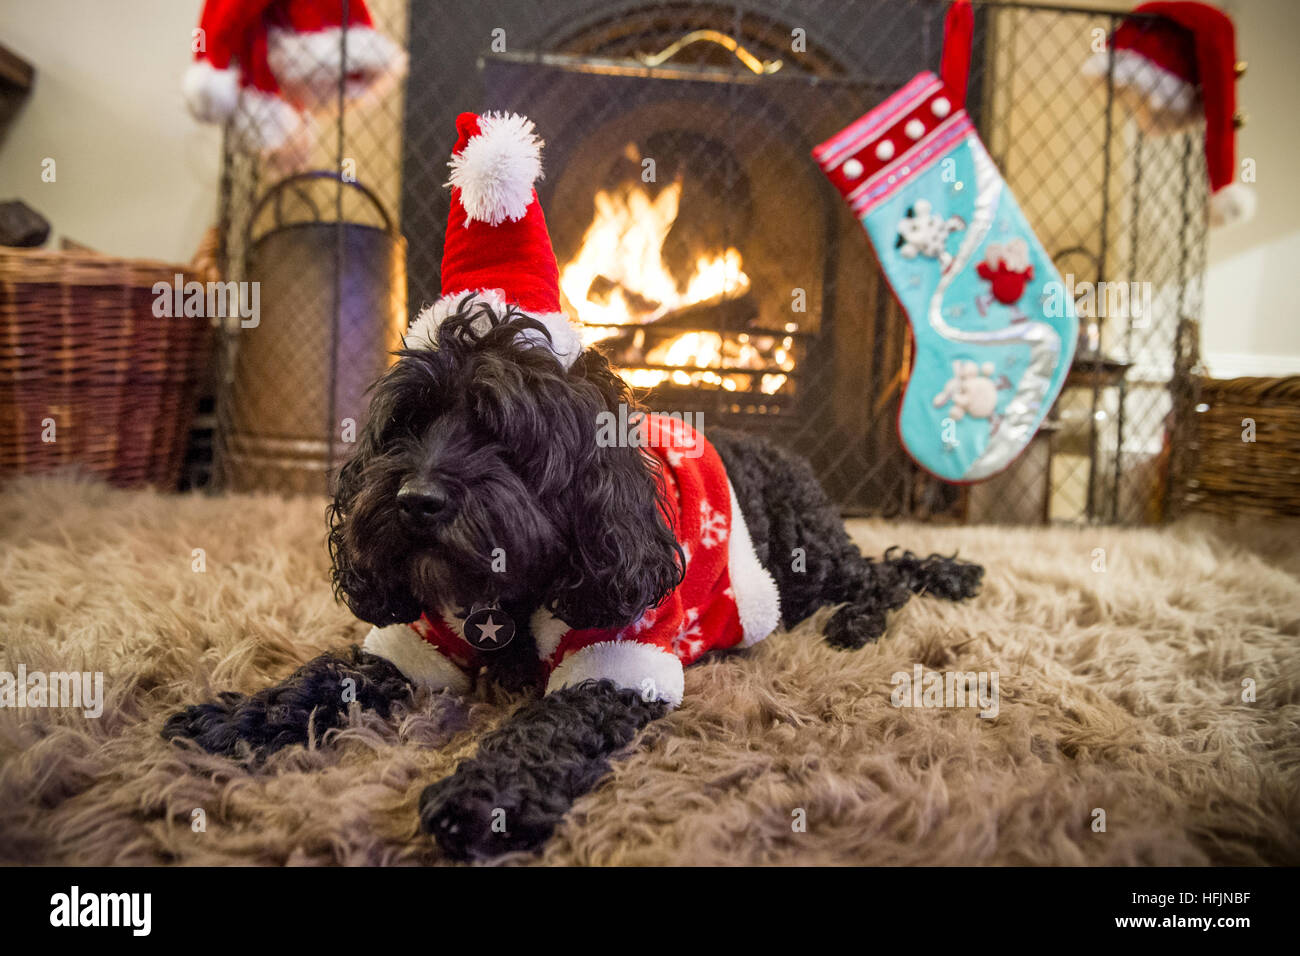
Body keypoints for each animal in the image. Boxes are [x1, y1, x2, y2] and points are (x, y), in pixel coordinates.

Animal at [159, 297, 977, 858]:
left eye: (502, 431)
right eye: (407, 425)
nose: (415, 500)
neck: (508, 599)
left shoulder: (615, 655)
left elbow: (544, 729)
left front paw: (483, 797)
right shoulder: (418, 641)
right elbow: (329, 676)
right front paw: (239, 719)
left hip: (808, 562)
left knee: (883, 576)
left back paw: (858, 621)